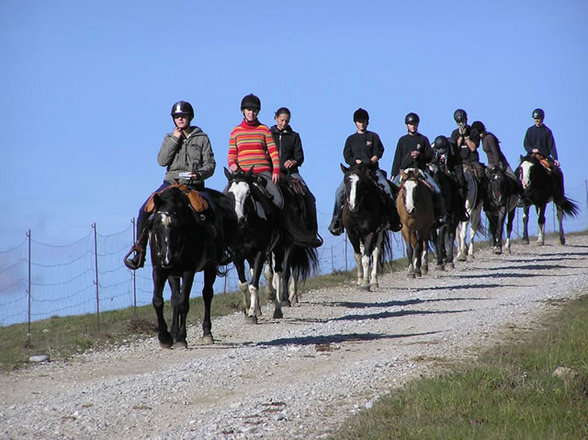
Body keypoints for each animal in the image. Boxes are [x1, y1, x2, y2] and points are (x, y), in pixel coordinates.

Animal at [147, 185, 234, 348]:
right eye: (155, 224)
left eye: (176, 225)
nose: (167, 259)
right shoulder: (159, 270)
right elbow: (158, 301)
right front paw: (165, 337)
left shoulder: (188, 271)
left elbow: (183, 303)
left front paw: (181, 339)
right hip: (173, 274)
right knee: (175, 298)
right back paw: (174, 333)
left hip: (210, 268)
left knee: (207, 295)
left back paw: (207, 333)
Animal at [224, 168, 282, 324]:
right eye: (230, 193)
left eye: (248, 192)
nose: (239, 218)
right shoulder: (236, 255)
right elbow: (244, 284)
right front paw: (246, 310)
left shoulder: (260, 252)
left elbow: (254, 284)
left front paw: (251, 314)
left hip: (276, 249)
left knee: (276, 274)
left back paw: (277, 307)